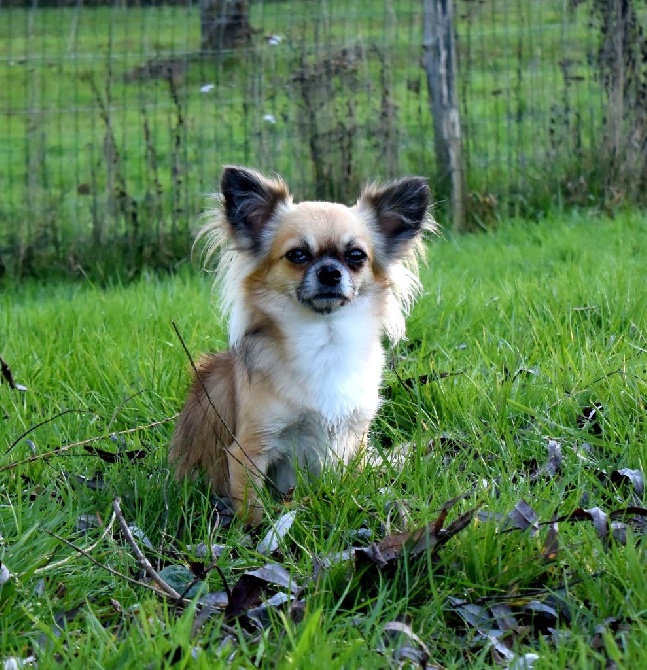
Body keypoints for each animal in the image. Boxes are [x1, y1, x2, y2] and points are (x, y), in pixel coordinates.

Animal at [170, 167, 432, 524]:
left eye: (356, 256)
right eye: (297, 255)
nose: (330, 272)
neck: (326, 340)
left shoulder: (353, 440)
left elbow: (351, 480)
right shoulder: (250, 450)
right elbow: (254, 509)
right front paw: (255, 533)